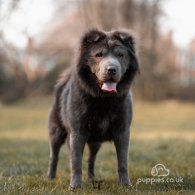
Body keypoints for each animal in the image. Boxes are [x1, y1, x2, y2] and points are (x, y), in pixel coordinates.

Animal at [47, 28, 139, 189]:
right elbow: (76, 162)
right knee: (54, 156)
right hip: (56, 132)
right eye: (99, 55)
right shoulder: (77, 132)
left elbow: (123, 162)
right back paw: (50, 178)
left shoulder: (123, 132)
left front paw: (125, 185)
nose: (111, 69)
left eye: (120, 55)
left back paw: (92, 178)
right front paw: (76, 186)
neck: (103, 99)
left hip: (95, 142)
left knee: (91, 159)